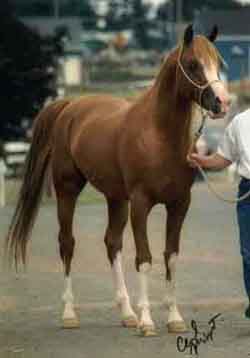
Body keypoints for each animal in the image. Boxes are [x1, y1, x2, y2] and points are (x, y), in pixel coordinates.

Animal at [5, 25, 230, 336]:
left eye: (218, 63)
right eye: (193, 64)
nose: (223, 103)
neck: (159, 136)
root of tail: (69, 105)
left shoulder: (179, 204)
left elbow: (170, 256)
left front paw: (174, 318)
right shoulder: (141, 203)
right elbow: (144, 259)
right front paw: (147, 322)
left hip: (116, 199)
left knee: (112, 242)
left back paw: (127, 314)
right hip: (67, 189)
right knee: (67, 243)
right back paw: (69, 314)